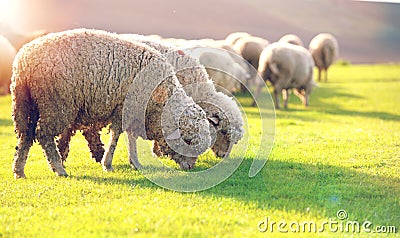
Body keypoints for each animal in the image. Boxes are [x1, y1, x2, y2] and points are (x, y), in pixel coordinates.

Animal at [10, 28, 211, 178]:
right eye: (187, 140)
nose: (190, 168)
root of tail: (23, 62)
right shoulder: (125, 109)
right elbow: (117, 136)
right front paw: (109, 164)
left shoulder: (131, 111)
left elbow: (129, 136)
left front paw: (134, 162)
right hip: (56, 104)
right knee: (43, 134)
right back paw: (59, 168)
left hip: (26, 104)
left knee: (26, 136)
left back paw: (19, 171)